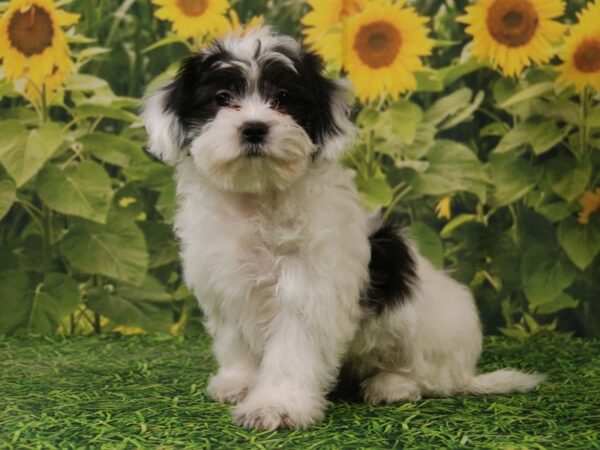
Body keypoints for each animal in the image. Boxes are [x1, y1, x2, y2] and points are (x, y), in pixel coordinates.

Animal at [142, 26, 544, 430]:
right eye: (221, 98)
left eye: (283, 99)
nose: (254, 128)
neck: (259, 195)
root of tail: (467, 370)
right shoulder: (225, 285)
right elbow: (235, 341)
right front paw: (239, 381)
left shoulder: (307, 288)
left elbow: (292, 351)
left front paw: (275, 405)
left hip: (421, 331)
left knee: (431, 377)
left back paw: (391, 384)